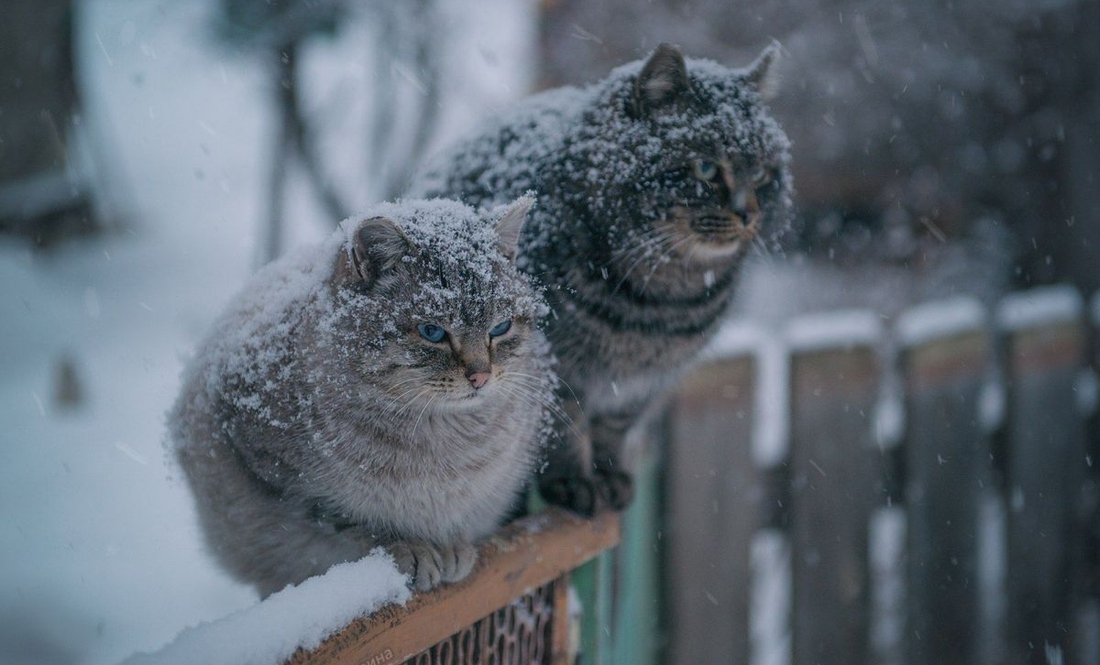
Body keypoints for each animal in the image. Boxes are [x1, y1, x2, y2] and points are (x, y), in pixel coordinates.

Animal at [168, 196, 554, 597]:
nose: (481, 376)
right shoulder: (283, 477)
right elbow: (354, 522)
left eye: (500, 327)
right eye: (432, 332)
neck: (441, 438)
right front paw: (413, 547)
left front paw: (448, 545)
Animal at [409, 43, 796, 516]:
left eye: (761, 174)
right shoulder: (557, 366)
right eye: (706, 168)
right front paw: (575, 483)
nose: (748, 214)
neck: (663, 302)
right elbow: (565, 428)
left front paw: (610, 477)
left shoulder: (643, 383)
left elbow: (614, 428)